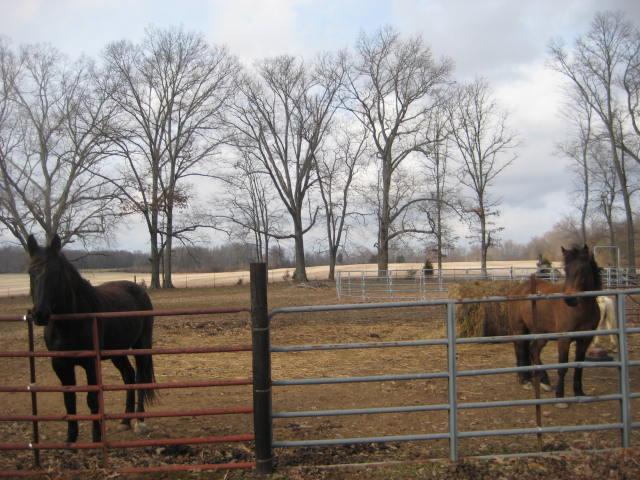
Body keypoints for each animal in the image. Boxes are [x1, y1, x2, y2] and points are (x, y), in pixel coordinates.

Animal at [27, 234, 156, 443]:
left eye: (56, 273)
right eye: (31, 272)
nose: (40, 314)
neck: (70, 323)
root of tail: (138, 289)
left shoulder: (90, 363)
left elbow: (92, 399)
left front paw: (96, 438)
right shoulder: (60, 364)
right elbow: (69, 400)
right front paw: (70, 439)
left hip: (141, 346)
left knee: (140, 378)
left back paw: (140, 421)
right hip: (117, 352)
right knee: (128, 376)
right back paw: (125, 421)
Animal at [508, 245, 601, 407]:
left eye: (583, 269)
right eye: (566, 269)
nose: (570, 300)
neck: (581, 309)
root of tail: (518, 288)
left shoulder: (585, 340)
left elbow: (579, 366)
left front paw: (579, 393)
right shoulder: (564, 340)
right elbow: (562, 367)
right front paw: (560, 398)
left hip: (541, 333)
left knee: (533, 350)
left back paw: (543, 381)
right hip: (520, 329)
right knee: (521, 349)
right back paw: (526, 380)